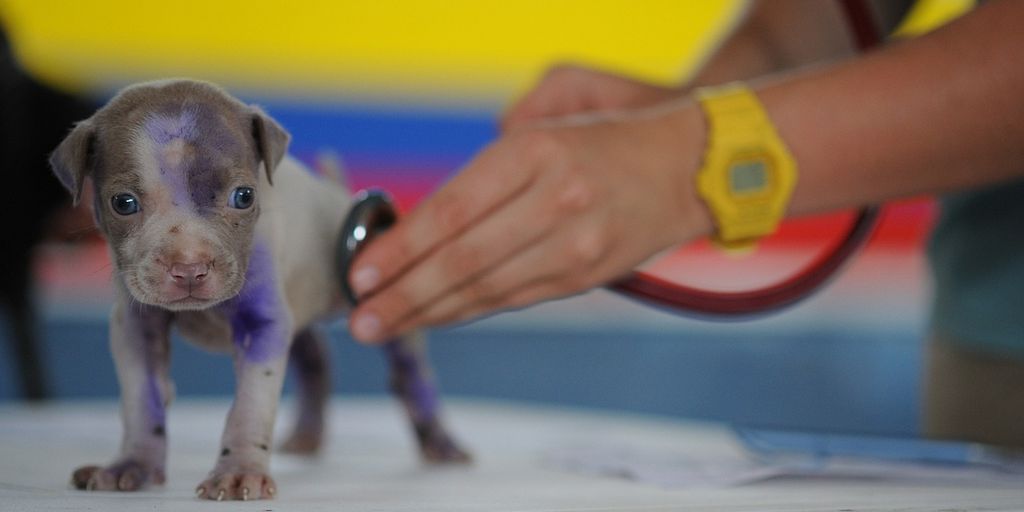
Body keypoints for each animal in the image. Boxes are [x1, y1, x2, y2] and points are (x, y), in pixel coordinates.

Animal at [49, 79, 468, 499]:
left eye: (244, 196)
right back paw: (307, 436)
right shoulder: (136, 328)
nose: (189, 268)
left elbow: (250, 406)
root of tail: (335, 193)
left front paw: (238, 471)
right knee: (315, 357)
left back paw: (441, 443)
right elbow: (142, 399)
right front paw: (133, 464)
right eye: (123, 203)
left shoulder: (263, 325)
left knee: (409, 373)